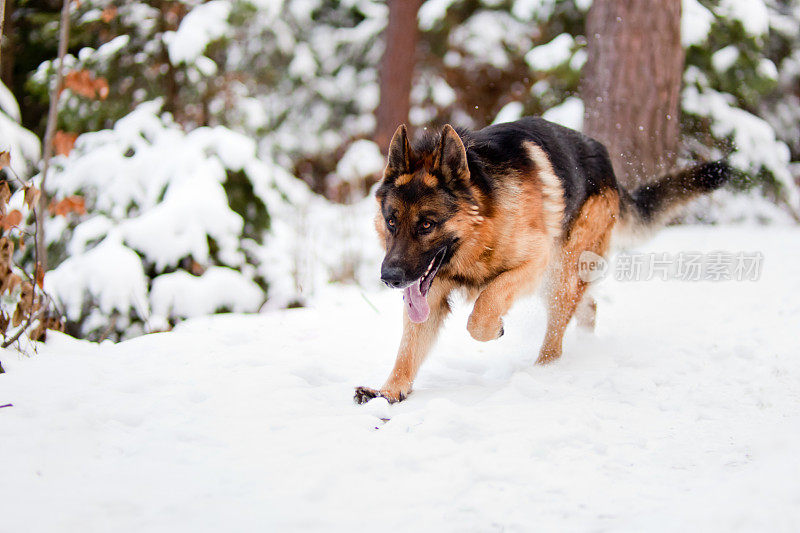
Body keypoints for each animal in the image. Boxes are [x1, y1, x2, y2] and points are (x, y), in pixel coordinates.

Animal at [354, 118, 728, 404]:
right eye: (392, 221)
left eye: (427, 225)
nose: (389, 277)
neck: (484, 222)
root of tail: (606, 162)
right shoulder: (427, 294)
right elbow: (407, 351)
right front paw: (389, 392)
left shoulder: (533, 264)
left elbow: (483, 310)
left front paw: (494, 328)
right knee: (588, 308)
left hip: (561, 272)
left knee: (557, 333)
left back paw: (545, 371)